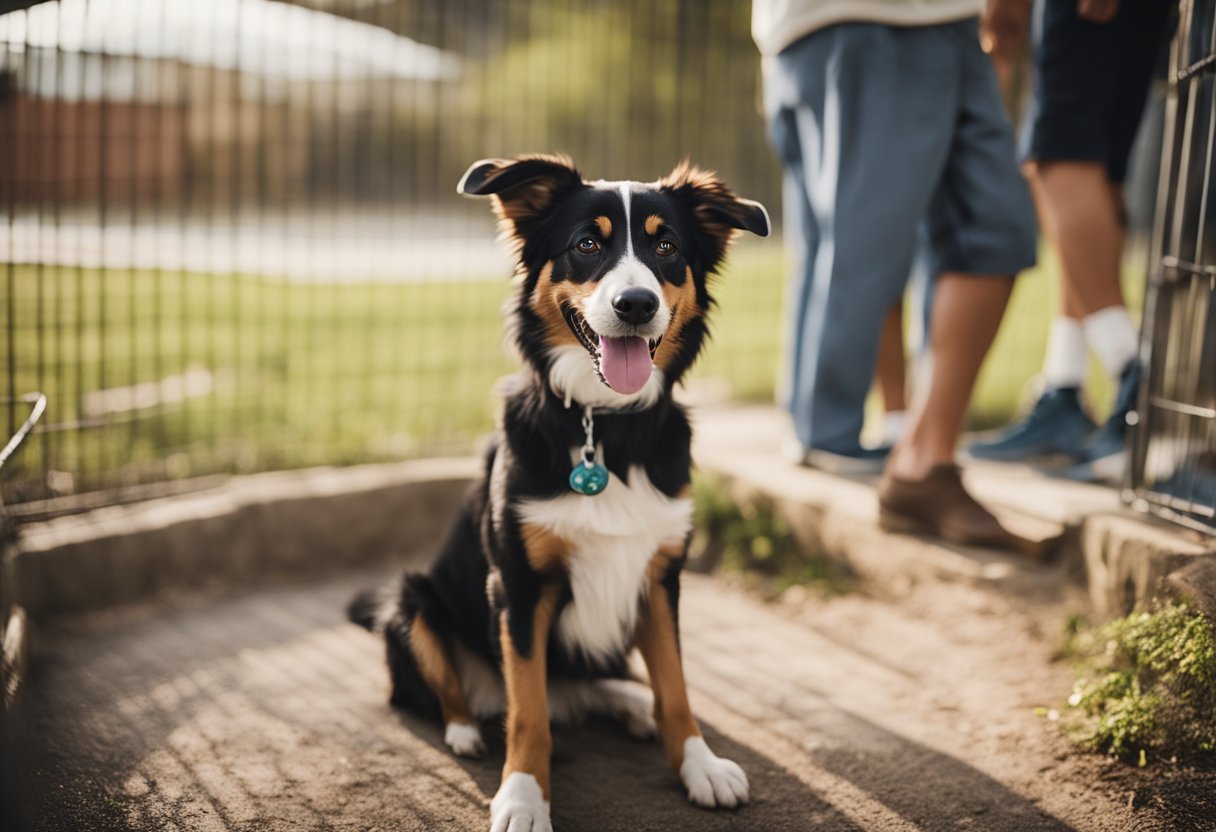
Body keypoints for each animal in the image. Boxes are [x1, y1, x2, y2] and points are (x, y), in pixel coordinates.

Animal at [350, 152, 768, 827]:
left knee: (591, 686)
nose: (635, 304)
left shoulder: (660, 578)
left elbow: (676, 687)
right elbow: (530, 710)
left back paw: (629, 702)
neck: (604, 425)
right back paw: (465, 731)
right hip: (412, 604)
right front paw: (523, 796)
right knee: (457, 692)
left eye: (667, 247)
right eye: (587, 244)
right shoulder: (519, 587)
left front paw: (699, 765)